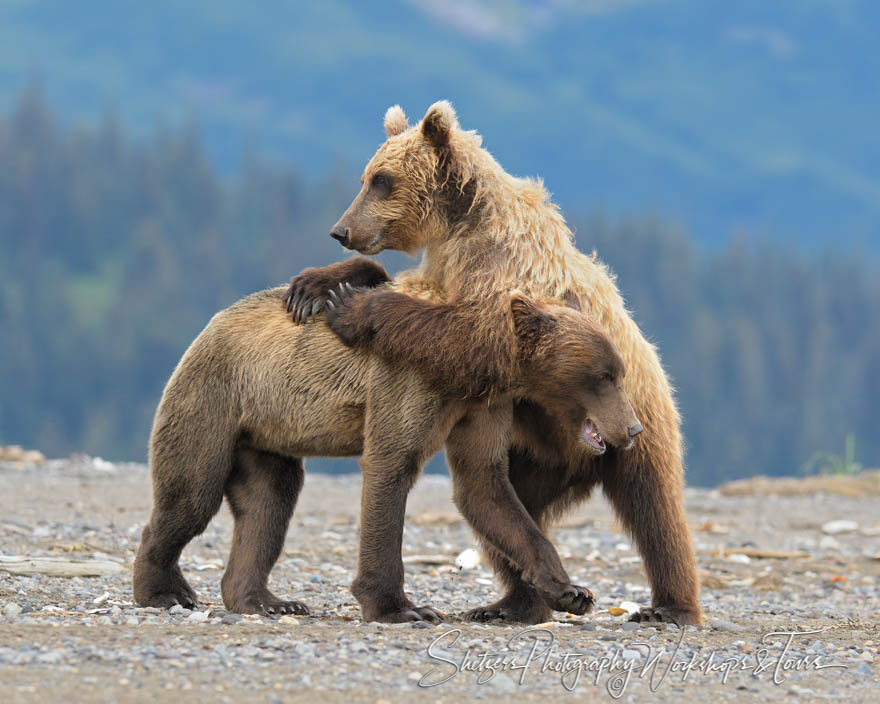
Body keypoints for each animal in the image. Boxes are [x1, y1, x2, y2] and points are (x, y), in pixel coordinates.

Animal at [132, 280, 640, 620]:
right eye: (604, 375)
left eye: (617, 371)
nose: (633, 428)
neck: (469, 366)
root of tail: (211, 324)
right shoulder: (407, 381)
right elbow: (391, 470)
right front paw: (402, 607)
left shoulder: (483, 408)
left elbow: (486, 486)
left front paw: (570, 590)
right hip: (217, 396)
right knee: (192, 493)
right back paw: (164, 591)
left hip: (267, 433)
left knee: (268, 503)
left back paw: (267, 601)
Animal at [288, 99, 700, 620]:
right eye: (367, 176)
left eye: (381, 180)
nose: (341, 230)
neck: (462, 225)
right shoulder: (447, 265)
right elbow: (396, 279)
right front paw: (313, 285)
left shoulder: (505, 272)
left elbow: (474, 333)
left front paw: (359, 309)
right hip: (530, 451)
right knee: (502, 503)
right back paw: (512, 602)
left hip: (637, 420)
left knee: (657, 512)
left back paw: (669, 606)